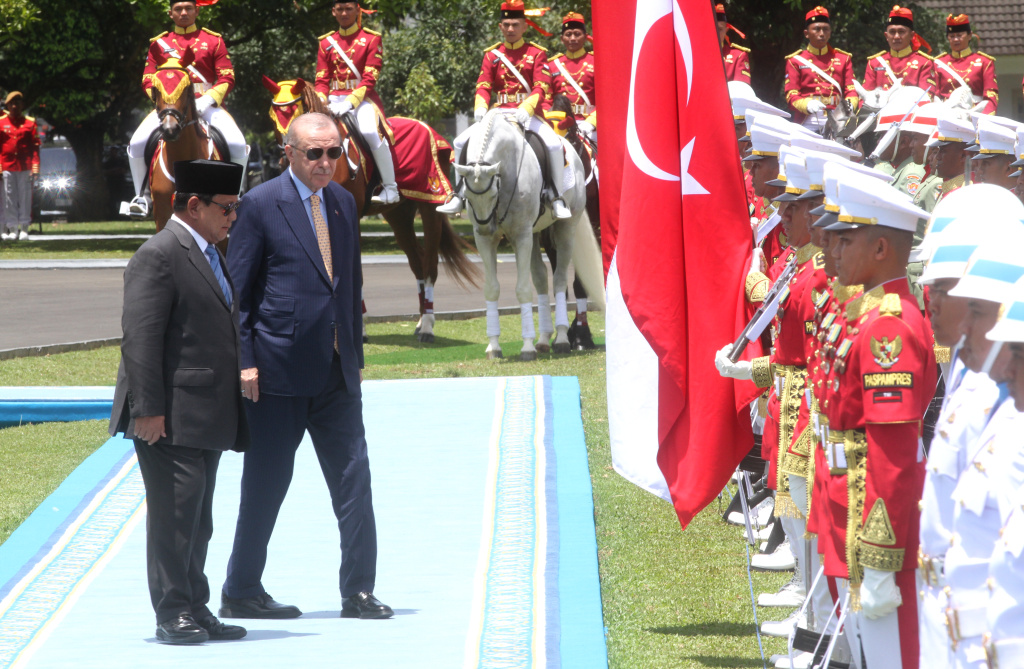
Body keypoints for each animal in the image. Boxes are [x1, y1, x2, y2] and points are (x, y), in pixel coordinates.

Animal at [264, 75, 479, 342]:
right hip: (398, 216)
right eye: (273, 116)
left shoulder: (351, 216)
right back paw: (420, 321)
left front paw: (360, 329)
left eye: (296, 112)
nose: (285, 155)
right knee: (417, 261)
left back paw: (428, 326)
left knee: (430, 264)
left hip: (430, 207)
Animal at [454, 109, 602, 360]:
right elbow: (492, 289)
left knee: (560, 280)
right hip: (536, 233)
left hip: (565, 229)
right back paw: (543, 339)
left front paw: (527, 347)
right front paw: (494, 346)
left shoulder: (520, 236)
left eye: (493, 193)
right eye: (467, 195)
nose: (486, 227)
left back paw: (562, 339)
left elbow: (523, 290)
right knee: (542, 279)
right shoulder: (485, 240)